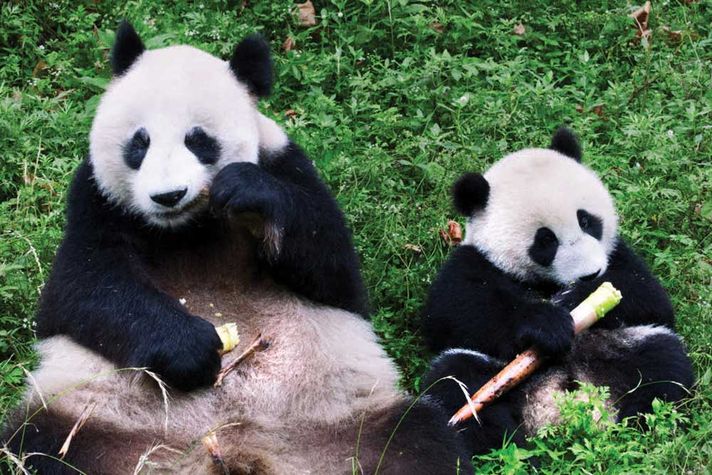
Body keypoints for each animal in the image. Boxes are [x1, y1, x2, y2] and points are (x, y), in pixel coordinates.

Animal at [2, 21, 468, 472]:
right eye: (140, 142)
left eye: (198, 140)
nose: (168, 196)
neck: (187, 229)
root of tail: (239, 445)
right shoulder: (96, 200)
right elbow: (83, 288)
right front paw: (190, 349)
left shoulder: (288, 163)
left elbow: (335, 271)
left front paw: (247, 189)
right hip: (95, 420)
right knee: (42, 445)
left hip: (346, 421)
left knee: (415, 441)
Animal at [420, 128, 692, 456]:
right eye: (546, 241)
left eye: (586, 220)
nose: (591, 273)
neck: (546, 284)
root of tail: (559, 413)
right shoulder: (474, 261)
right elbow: (452, 312)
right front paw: (548, 323)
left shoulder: (618, 255)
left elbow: (650, 297)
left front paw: (581, 297)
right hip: (496, 381)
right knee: (459, 386)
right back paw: (513, 451)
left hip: (620, 348)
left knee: (662, 365)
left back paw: (637, 435)